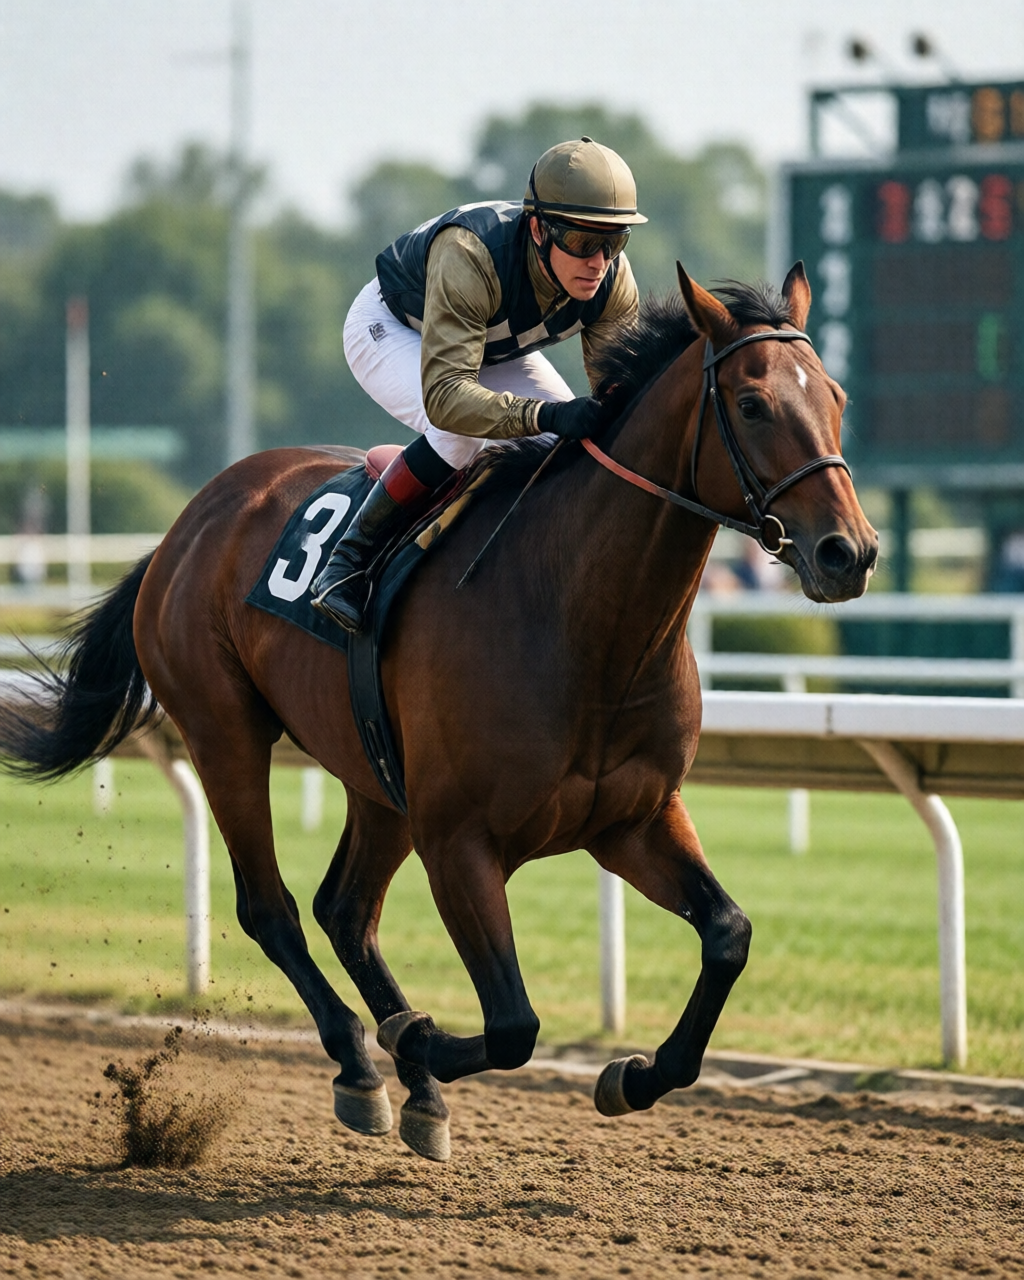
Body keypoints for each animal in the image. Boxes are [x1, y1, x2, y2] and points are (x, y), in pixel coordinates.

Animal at [0, 264, 877, 1163]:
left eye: (836, 396)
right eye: (752, 403)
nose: (849, 552)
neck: (581, 619)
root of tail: (187, 524)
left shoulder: (633, 820)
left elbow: (727, 935)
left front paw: (630, 1075)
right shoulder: (458, 840)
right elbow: (515, 1023)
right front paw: (416, 1038)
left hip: (377, 777)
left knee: (345, 911)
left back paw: (406, 1082)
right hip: (224, 732)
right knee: (273, 910)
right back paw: (362, 1059)